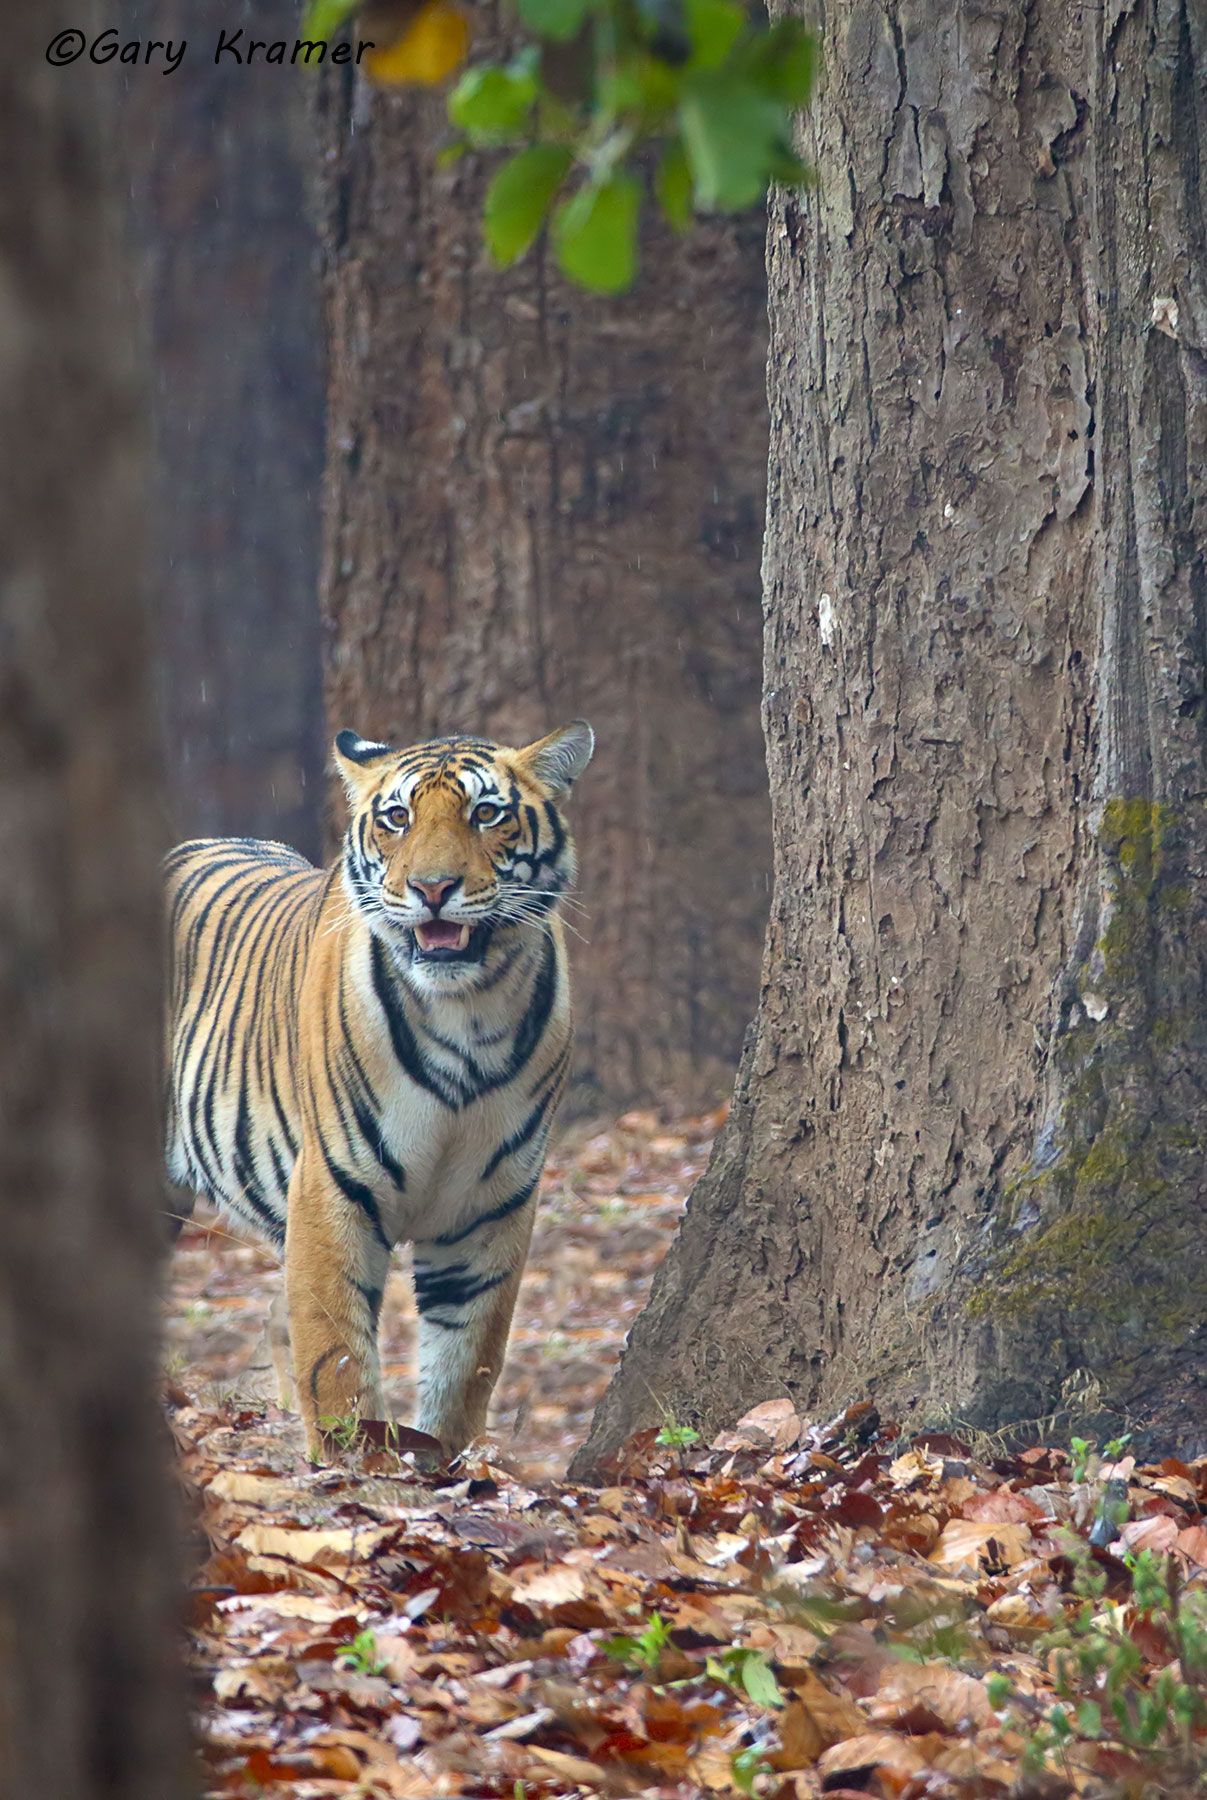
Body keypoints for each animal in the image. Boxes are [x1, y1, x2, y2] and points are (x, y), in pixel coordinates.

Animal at [164, 721, 594, 1460]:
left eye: (487, 813)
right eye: (397, 818)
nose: (432, 888)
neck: (468, 1016)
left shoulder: (491, 1206)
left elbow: (467, 1362)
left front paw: (444, 1460)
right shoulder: (331, 1184)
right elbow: (334, 1349)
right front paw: (354, 1464)